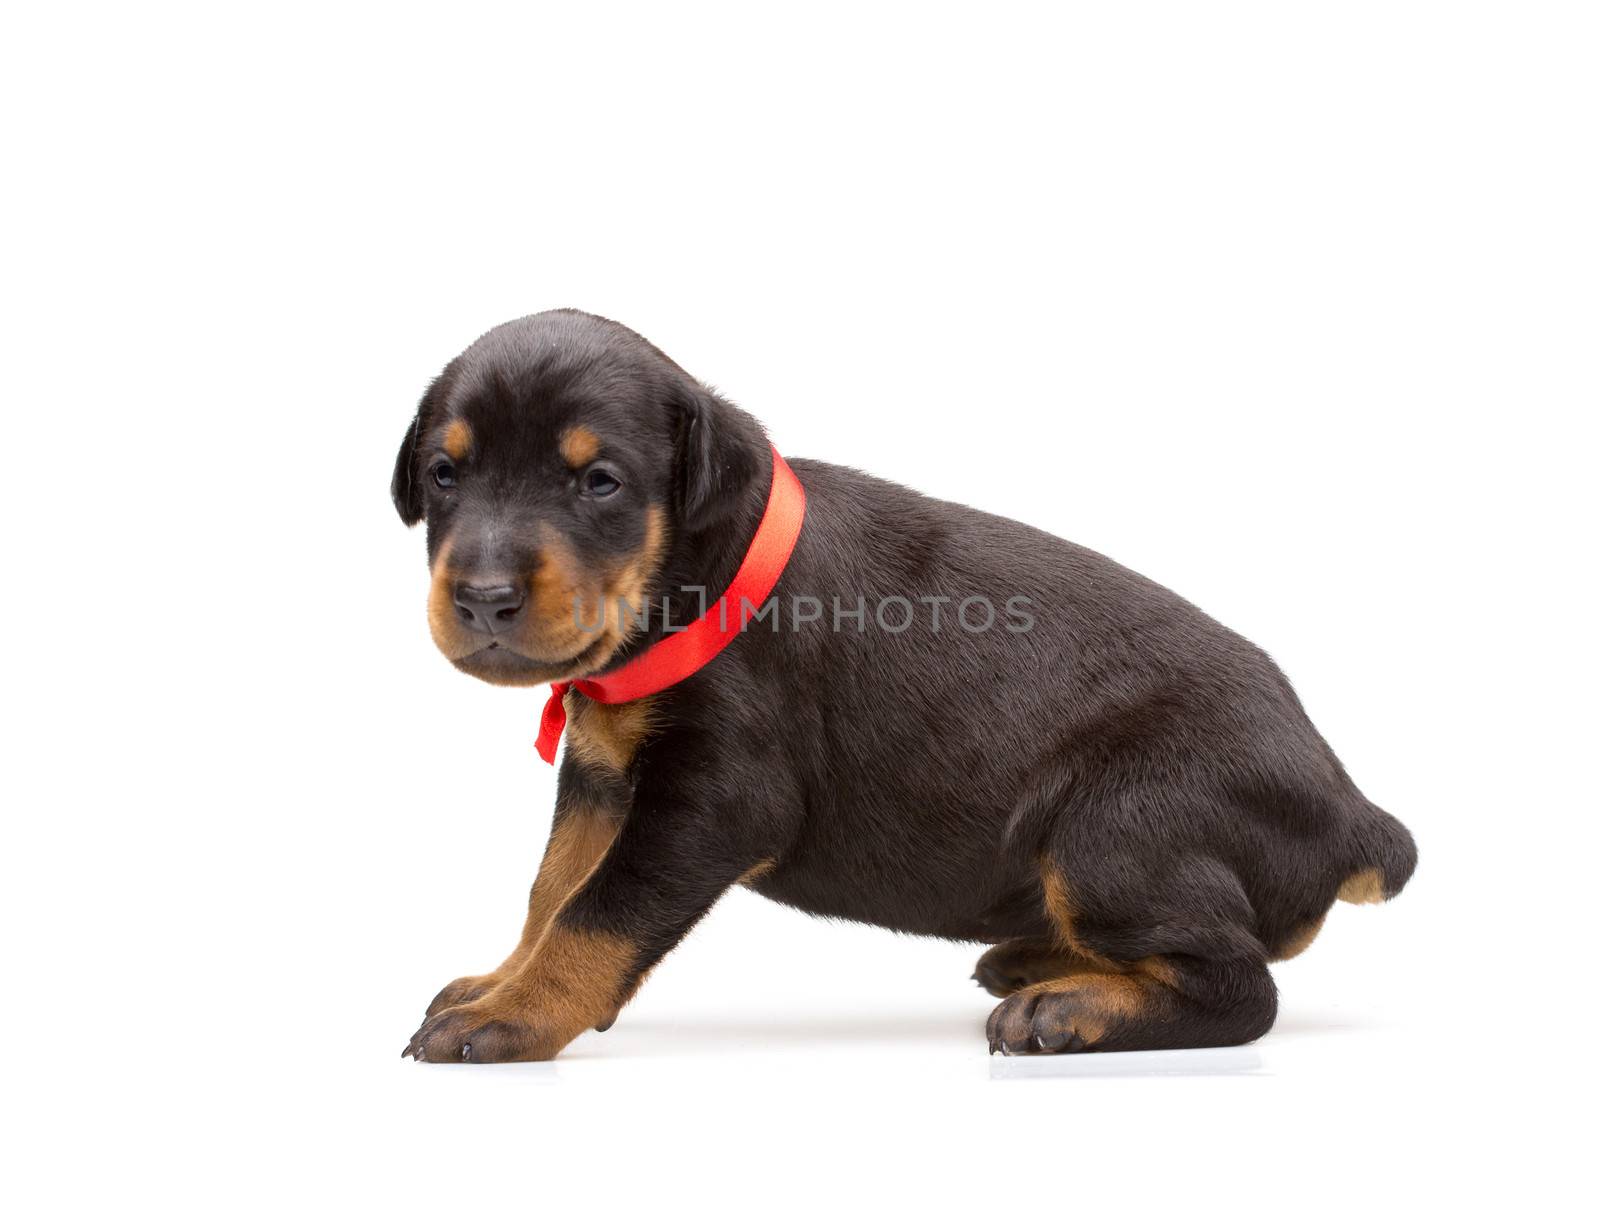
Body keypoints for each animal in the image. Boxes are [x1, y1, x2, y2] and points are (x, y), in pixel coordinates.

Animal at [393, 308, 1420, 1062]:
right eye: (444, 473)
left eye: (600, 481)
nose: (483, 597)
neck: (690, 585)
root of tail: (1349, 809)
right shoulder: (604, 773)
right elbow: (553, 886)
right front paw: (501, 977)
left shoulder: (717, 796)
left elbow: (597, 910)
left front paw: (514, 1015)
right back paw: (1035, 960)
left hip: (1116, 824)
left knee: (1243, 985)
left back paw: (1070, 1008)